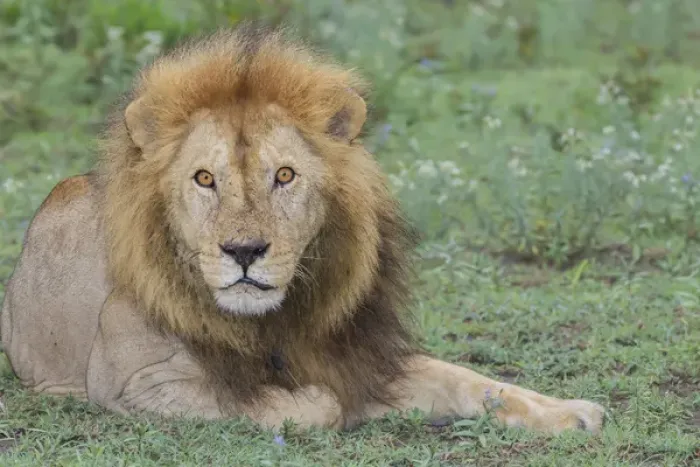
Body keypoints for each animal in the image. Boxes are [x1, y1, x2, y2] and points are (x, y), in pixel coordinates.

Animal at [1, 23, 605, 433]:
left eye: (285, 175)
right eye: (204, 178)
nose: (245, 251)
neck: (277, 319)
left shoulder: (359, 354)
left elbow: (471, 380)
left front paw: (571, 412)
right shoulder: (136, 385)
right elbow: (314, 403)